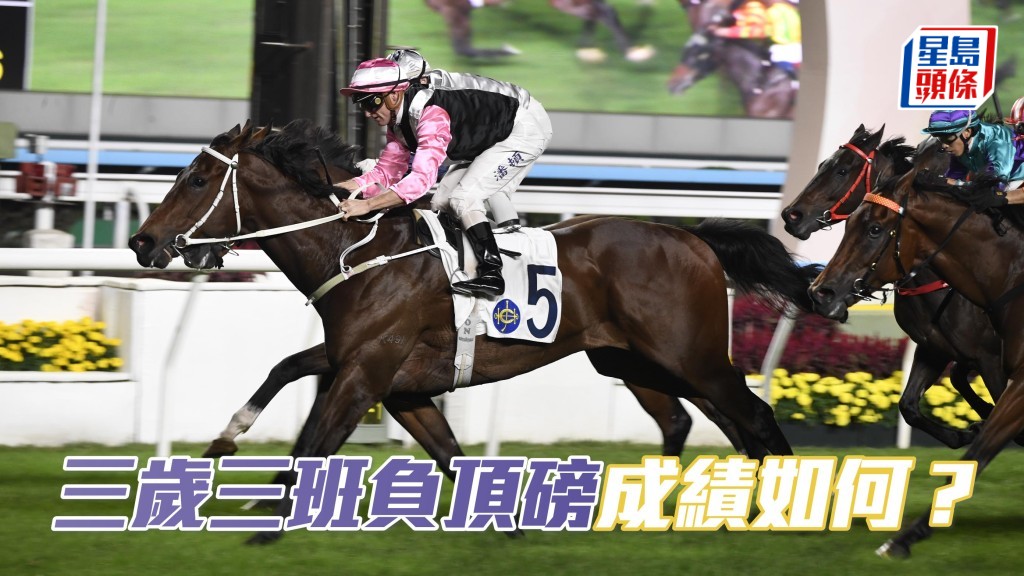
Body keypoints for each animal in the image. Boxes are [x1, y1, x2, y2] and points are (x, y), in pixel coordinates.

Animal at [129, 119, 820, 543]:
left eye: (196, 179)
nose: (142, 242)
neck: (358, 251)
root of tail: (691, 236)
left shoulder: (366, 373)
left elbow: (315, 442)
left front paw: (266, 518)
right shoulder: (393, 381)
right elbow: (437, 450)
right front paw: (224, 444)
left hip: (689, 355)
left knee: (752, 414)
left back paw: (798, 508)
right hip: (636, 360)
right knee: (707, 418)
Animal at [424, 0, 655, 62]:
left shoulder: (455, 9)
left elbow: (463, 48)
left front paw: (509, 51)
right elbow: (464, 48)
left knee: (604, 11)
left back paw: (632, 52)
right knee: (596, 13)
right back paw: (586, 49)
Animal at [781, 125, 1004, 448]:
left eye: (842, 170)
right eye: (823, 164)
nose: (791, 215)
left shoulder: (991, 357)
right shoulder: (935, 348)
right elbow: (909, 404)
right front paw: (965, 431)